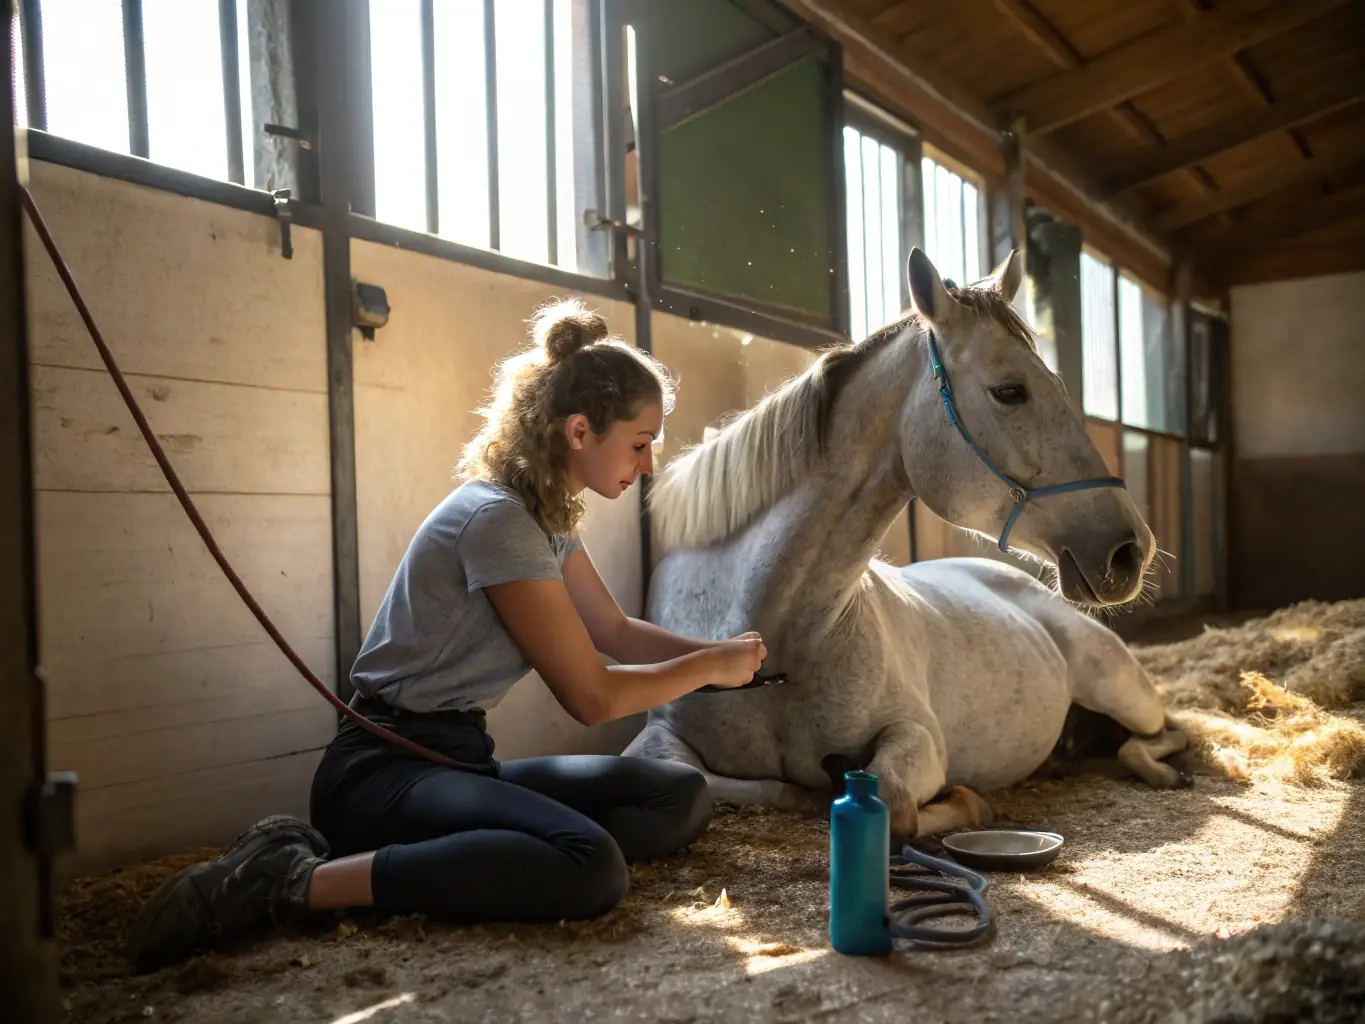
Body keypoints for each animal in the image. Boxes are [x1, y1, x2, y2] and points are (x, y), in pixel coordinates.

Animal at [622, 247, 1190, 840]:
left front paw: (964, 804)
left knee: (1163, 733)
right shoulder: (652, 741)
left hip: (1123, 690)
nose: (1131, 550)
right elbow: (748, 785)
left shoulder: (918, 738)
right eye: (1010, 391)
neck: (776, 642)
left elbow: (895, 802)